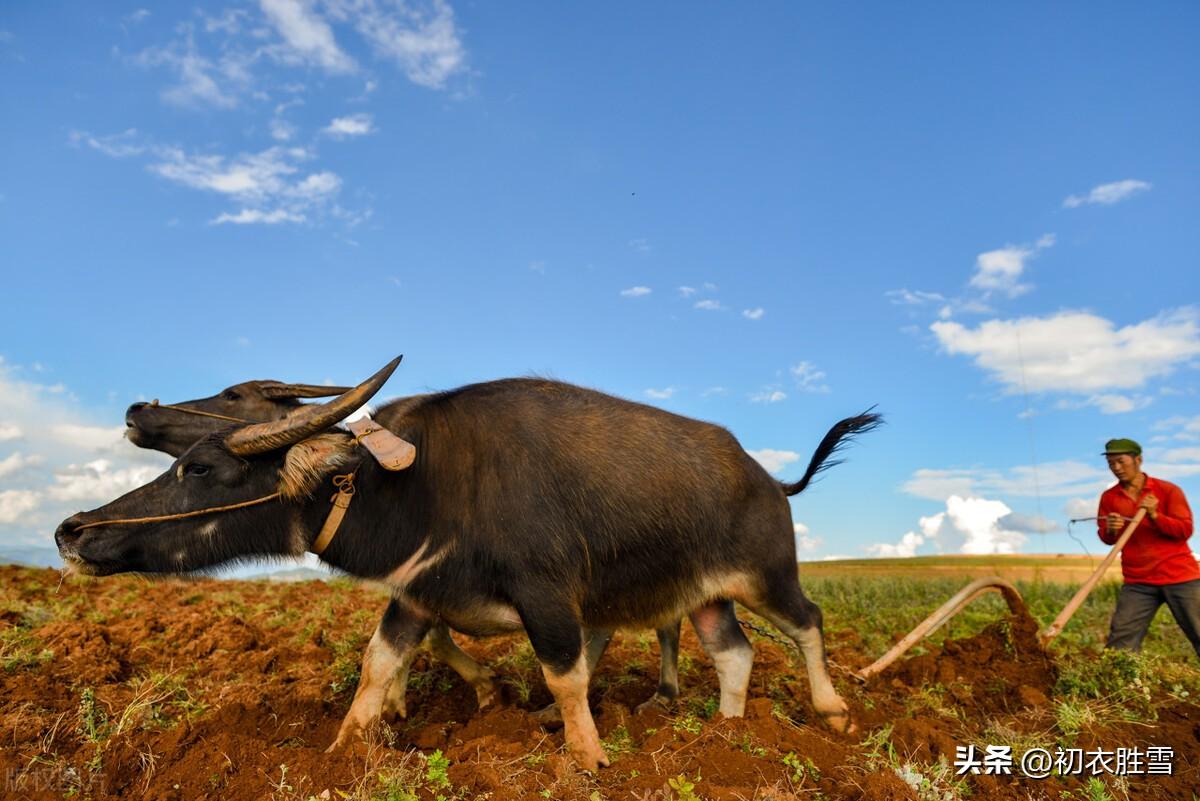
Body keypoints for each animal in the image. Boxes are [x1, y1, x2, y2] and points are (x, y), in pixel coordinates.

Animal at [58, 357, 883, 767]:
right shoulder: (416, 594)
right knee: (734, 651)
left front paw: (588, 757)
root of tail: (768, 478)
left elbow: (565, 674)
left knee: (807, 622)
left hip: (768, 573)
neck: (420, 484)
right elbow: (379, 665)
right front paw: (344, 748)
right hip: (707, 592)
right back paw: (729, 735)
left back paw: (830, 712)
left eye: (201, 468)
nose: (72, 530)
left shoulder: (548, 596)